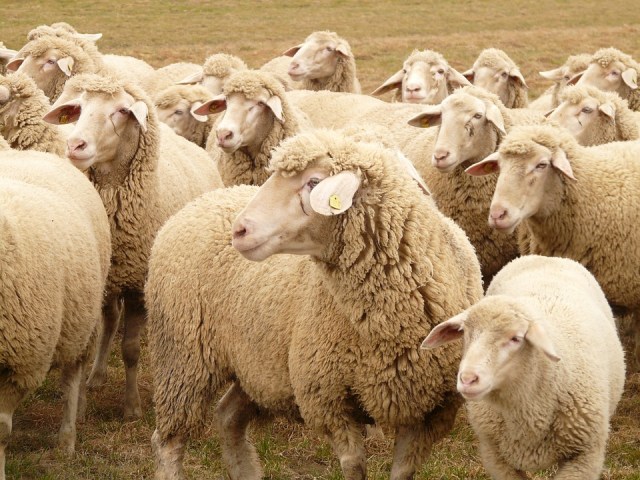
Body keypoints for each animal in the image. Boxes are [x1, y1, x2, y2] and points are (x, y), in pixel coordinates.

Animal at [43, 73, 223, 418]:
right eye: (79, 108)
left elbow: (130, 349)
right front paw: (80, 404)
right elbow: (95, 339)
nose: (75, 145)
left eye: (121, 111)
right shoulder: (100, 282)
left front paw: (132, 407)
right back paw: (97, 375)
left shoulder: (139, 284)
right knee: (110, 322)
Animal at [148, 128, 483, 480]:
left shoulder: (431, 412)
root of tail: (200, 202)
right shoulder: (328, 400)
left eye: (313, 182)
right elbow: (354, 466)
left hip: (257, 366)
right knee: (169, 441)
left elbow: (402, 472)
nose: (239, 230)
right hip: (183, 359)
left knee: (228, 417)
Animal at [423, 255, 626, 480]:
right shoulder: (495, 457)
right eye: (466, 332)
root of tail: (547, 257)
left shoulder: (585, 458)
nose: (468, 379)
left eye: (516, 338)